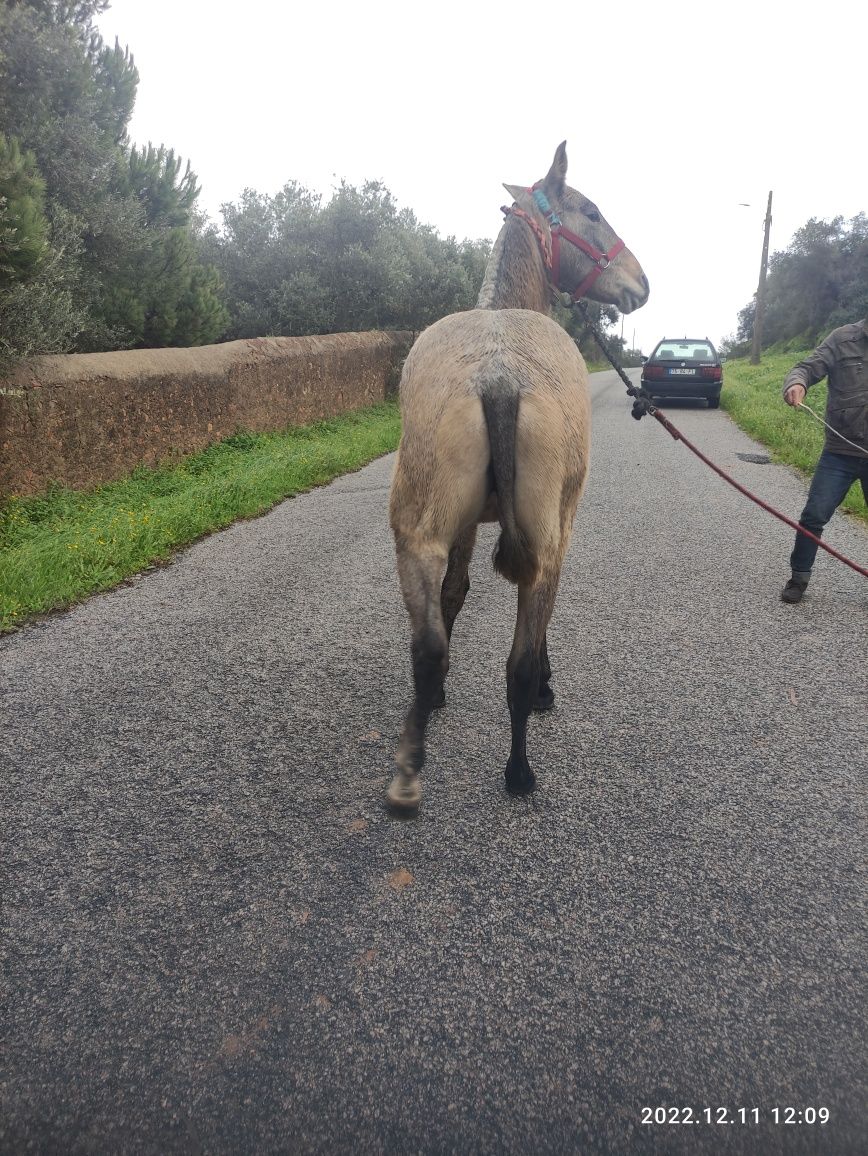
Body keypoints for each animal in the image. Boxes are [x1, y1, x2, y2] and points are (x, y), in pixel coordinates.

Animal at [386, 142, 647, 813]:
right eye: (591, 211)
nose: (641, 283)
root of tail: (498, 374)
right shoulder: (560, 529)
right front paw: (548, 687)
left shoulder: (465, 529)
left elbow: (454, 595)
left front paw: (443, 695)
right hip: (544, 538)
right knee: (519, 665)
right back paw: (519, 770)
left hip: (417, 534)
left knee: (426, 649)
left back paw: (411, 764)